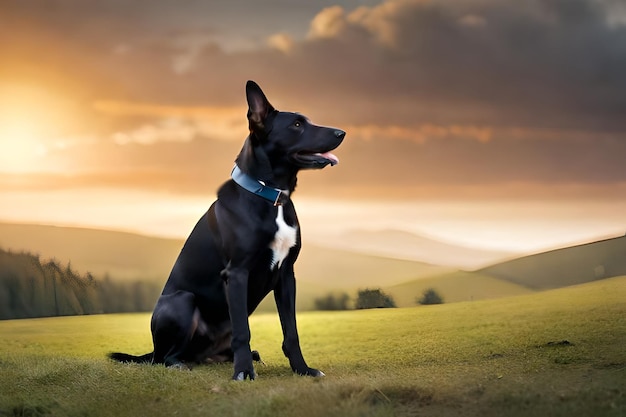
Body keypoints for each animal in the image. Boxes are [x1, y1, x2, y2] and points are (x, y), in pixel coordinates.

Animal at [107, 79, 342, 378]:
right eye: (297, 125)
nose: (341, 132)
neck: (271, 195)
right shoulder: (237, 273)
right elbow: (243, 331)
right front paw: (243, 373)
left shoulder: (287, 275)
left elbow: (291, 332)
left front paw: (302, 369)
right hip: (181, 301)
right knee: (165, 356)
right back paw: (183, 363)